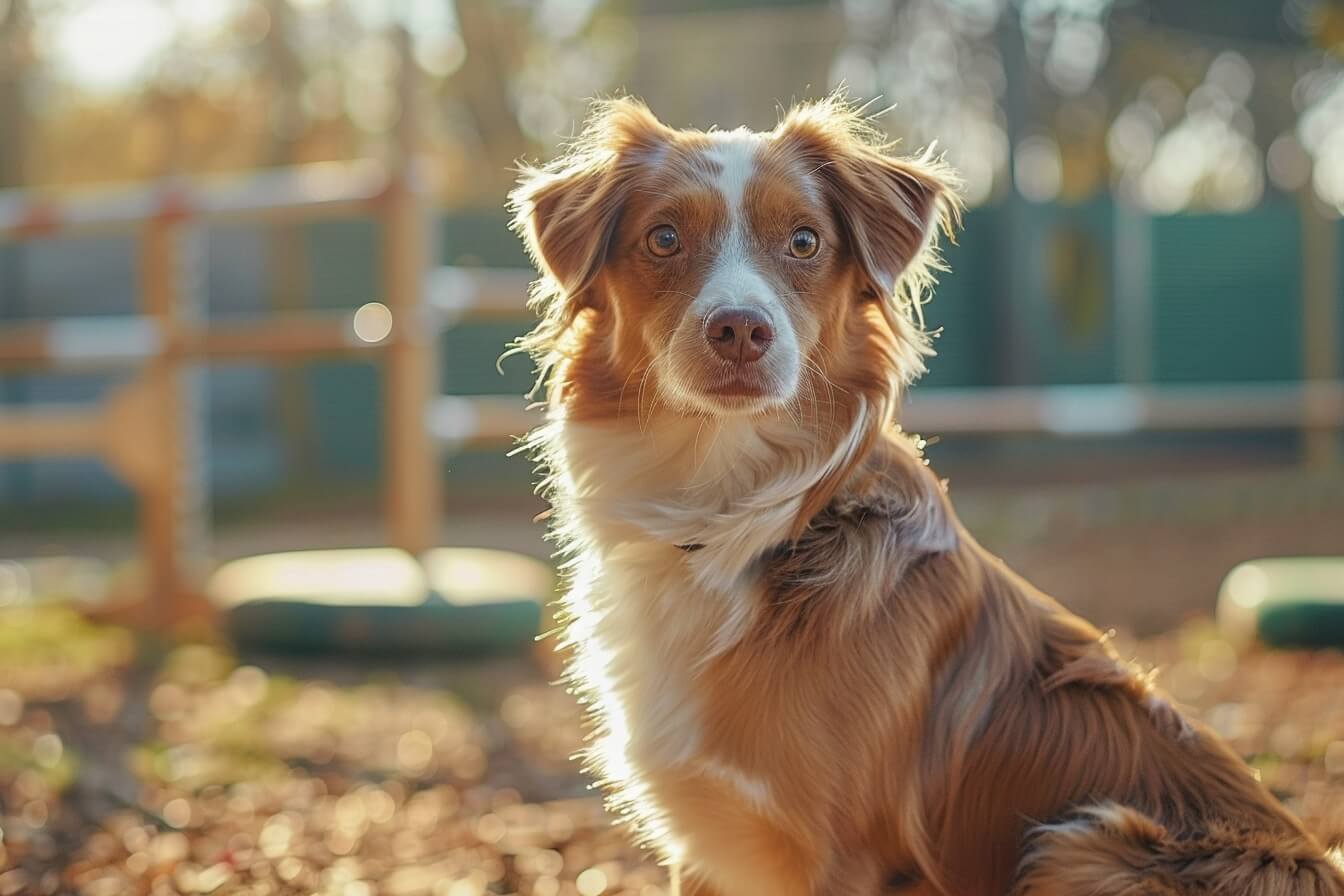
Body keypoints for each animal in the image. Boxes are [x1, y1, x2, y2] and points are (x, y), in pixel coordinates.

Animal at [505, 94, 1344, 891]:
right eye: (663, 239)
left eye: (804, 241)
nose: (740, 330)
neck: (728, 515)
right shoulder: (707, 852)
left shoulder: (846, 858)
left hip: (1085, 839)